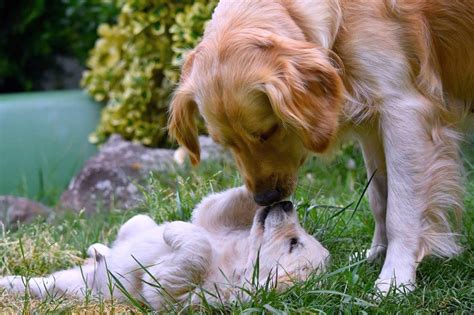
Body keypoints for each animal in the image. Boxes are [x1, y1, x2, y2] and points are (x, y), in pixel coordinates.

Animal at [0, 188, 330, 312]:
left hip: (83, 289)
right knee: (136, 223)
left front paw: (175, 232)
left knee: (50, 285)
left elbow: (165, 281)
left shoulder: (200, 296)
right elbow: (211, 210)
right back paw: (98, 249)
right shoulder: (225, 230)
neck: (240, 258)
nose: (286, 205)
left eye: (294, 242)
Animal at [168, 0, 472, 296]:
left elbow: (401, 210)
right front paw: (375, 254)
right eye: (225, 143)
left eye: (269, 131)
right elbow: (379, 198)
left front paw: (394, 279)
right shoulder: (373, 124)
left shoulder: (403, 110)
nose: (265, 199)